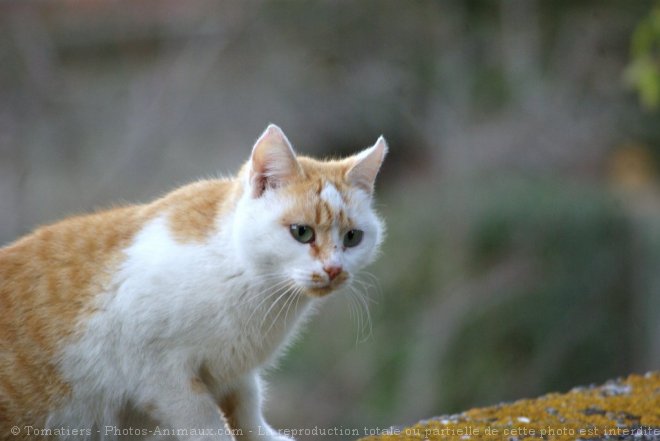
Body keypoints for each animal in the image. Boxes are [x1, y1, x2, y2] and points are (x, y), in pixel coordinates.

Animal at [0, 124, 386, 440]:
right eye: (302, 232)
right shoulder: (159, 370)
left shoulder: (236, 372)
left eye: (352, 238)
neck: (247, 279)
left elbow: (248, 409)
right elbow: (204, 423)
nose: (334, 269)